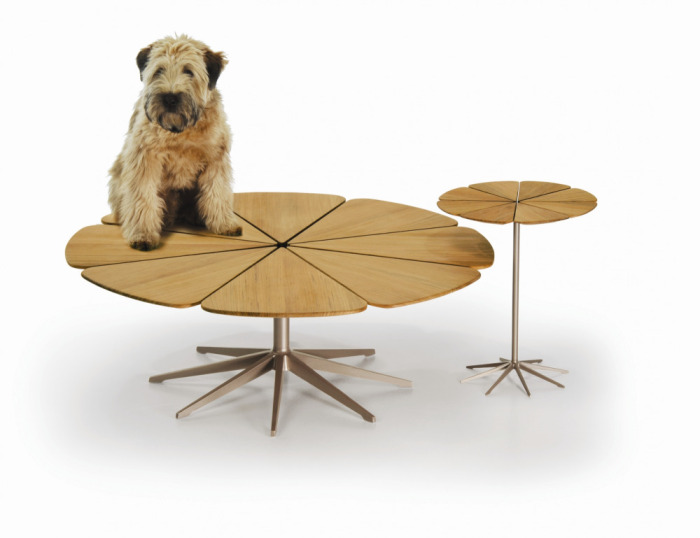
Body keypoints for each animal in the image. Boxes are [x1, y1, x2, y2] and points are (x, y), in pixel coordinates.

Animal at [108, 35, 242, 250]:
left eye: (189, 71)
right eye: (159, 70)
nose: (170, 98)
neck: (180, 132)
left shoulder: (216, 159)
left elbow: (218, 192)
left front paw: (224, 223)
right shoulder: (144, 161)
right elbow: (142, 198)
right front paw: (142, 234)